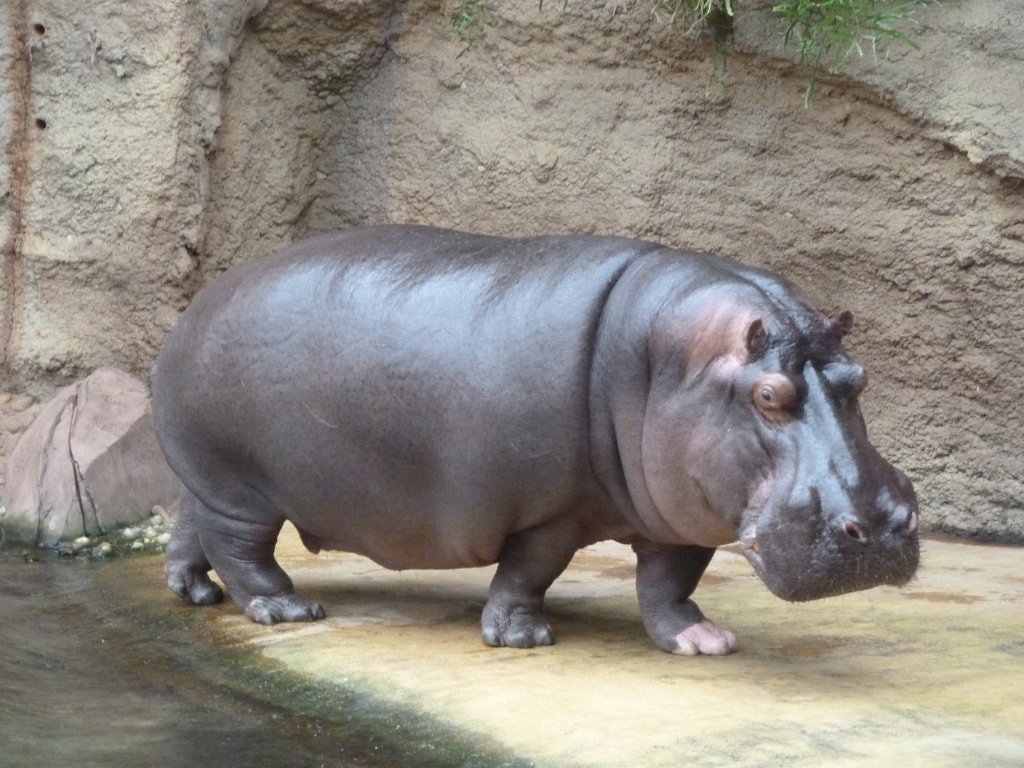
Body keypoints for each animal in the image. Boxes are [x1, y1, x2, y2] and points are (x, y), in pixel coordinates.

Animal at [150, 225, 919, 656]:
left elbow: (670, 582)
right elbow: (530, 571)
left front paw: (703, 641)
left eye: (860, 377)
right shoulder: (551, 513)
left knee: (190, 525)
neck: (666, 359)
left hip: (209, 483)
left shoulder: (684, 508)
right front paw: (523, 637)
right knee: (242, 549)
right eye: (767, 396)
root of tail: (191, 313)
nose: (884, 524)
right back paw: (286, 609)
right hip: (241, 487)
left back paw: (194, 592)